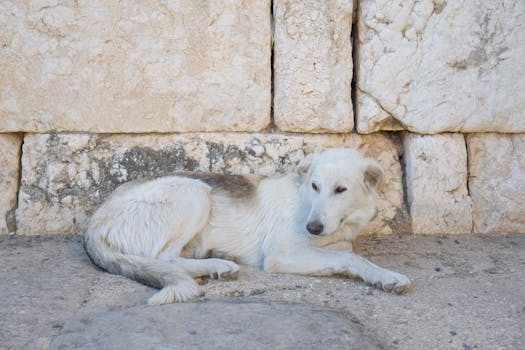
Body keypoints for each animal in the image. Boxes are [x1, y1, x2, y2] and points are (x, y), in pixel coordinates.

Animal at [83, 147, 410, 304]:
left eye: (340, 190)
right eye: (315, 186)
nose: (312, 228)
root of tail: (94, 221)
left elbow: (343, 249)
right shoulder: (280, 254)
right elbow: (349, 257)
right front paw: (386, 276)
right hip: (195, 192)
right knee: (163, 259)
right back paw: (218, 264)